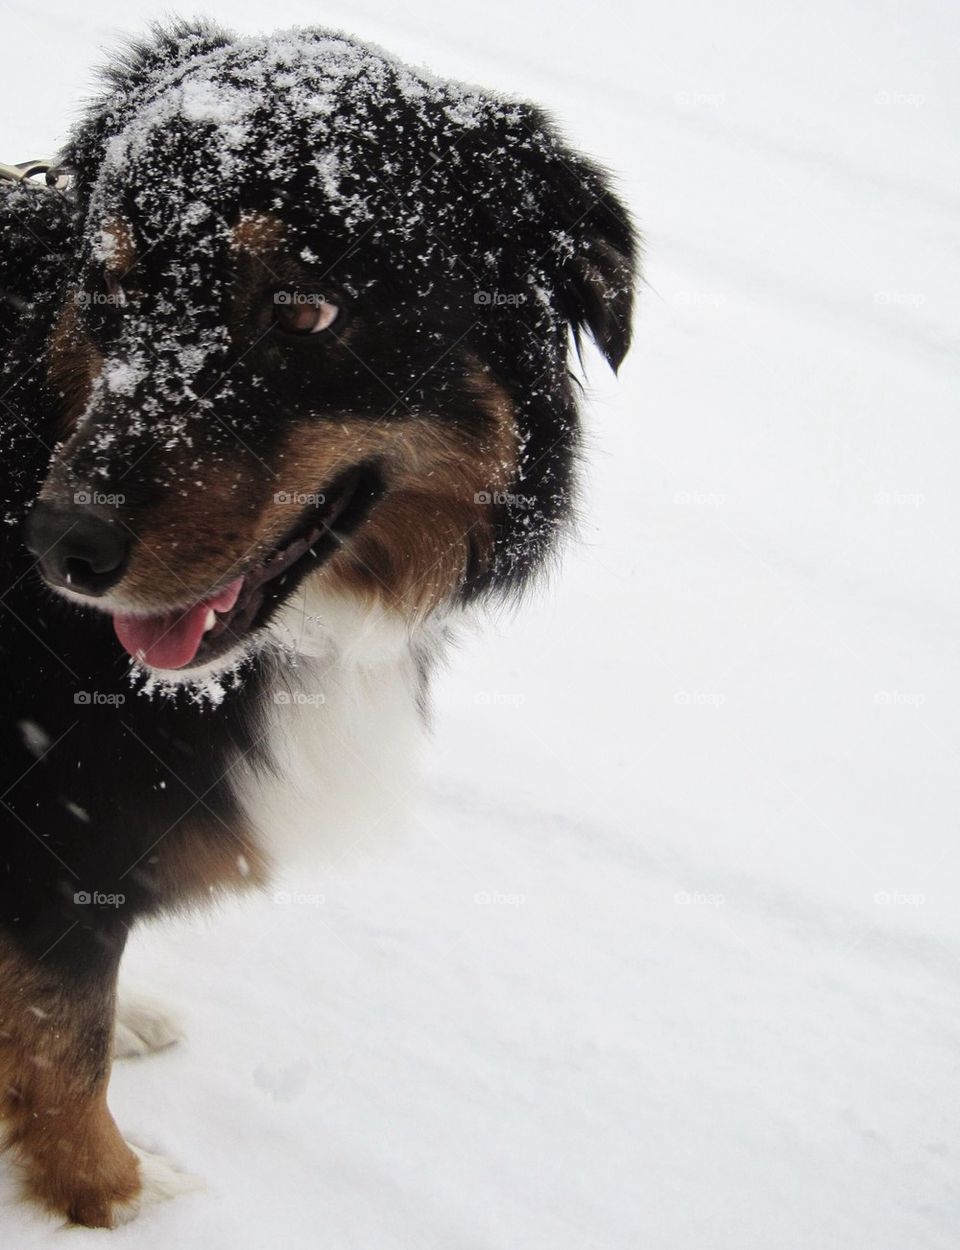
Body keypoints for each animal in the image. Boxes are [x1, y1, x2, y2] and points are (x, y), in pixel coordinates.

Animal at [0, 19, 637, 1230]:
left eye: (304, 310)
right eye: (109, 284)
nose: (62, 546)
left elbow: (62, 1013)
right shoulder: (51, 833)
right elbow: (64, 1041)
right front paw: (118, 1198)